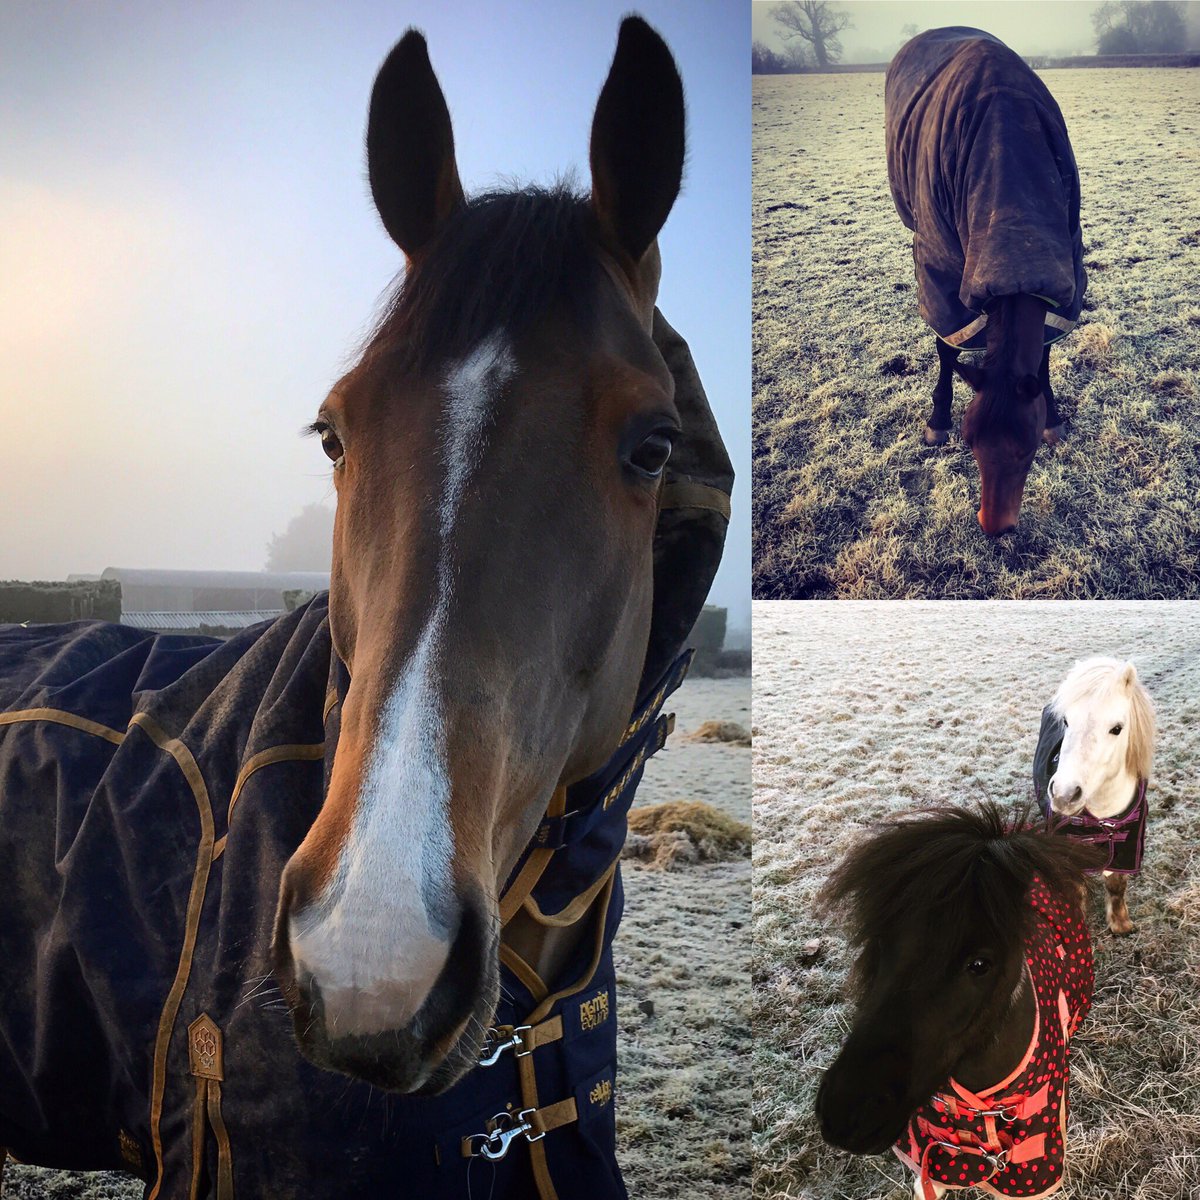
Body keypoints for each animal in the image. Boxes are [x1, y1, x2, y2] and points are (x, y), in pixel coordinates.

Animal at [885, 28, 1087, 535]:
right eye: (970, 441)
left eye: (1028, 448)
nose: (995, 527)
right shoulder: (941, 265)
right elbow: (947, 345)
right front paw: (937, 419)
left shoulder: (1063, 268)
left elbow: (1045, 351)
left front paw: (1054, 415)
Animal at [1034, 657, 1156, 936]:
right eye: (1066, 721)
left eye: (1117, 729)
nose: (1064, 794)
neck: (1103, 818)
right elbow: (1074, 892)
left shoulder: (1127, 846)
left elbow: (1116, 885)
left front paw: (1120, 924)